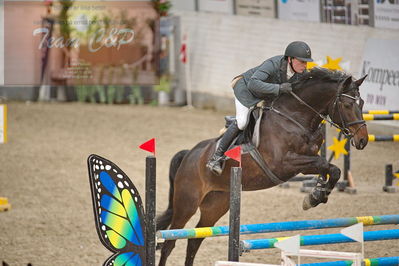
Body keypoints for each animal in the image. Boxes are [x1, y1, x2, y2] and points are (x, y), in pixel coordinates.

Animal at [155, 67, 368, 266]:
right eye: (347, 105)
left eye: (362, 104)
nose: (362, 140)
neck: (295, 118)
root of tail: (188, 154)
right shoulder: (285, 164)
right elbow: (324, 165)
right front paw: (314, 197)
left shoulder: (304, 164)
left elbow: (331, 169)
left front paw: (317, 194)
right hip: (187, 203)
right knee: (169, 242)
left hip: (216, 205)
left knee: (194, 240)